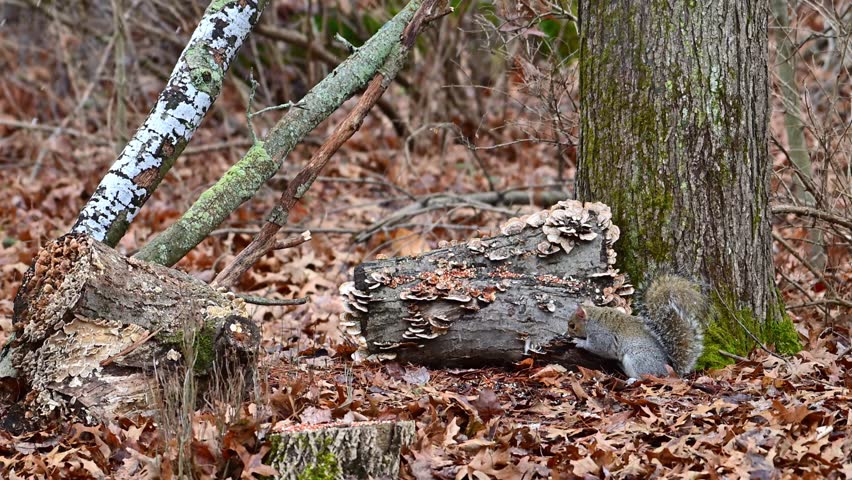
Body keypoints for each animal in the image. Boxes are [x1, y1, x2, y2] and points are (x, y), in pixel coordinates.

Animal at [566, 274, 707, 379]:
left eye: (572, 325)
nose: (568, 334)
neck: (593, 318)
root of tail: (670, 371)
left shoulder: (602, 336)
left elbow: (597, 347)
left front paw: (579, 342)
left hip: (638, 359)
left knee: (644, 377)